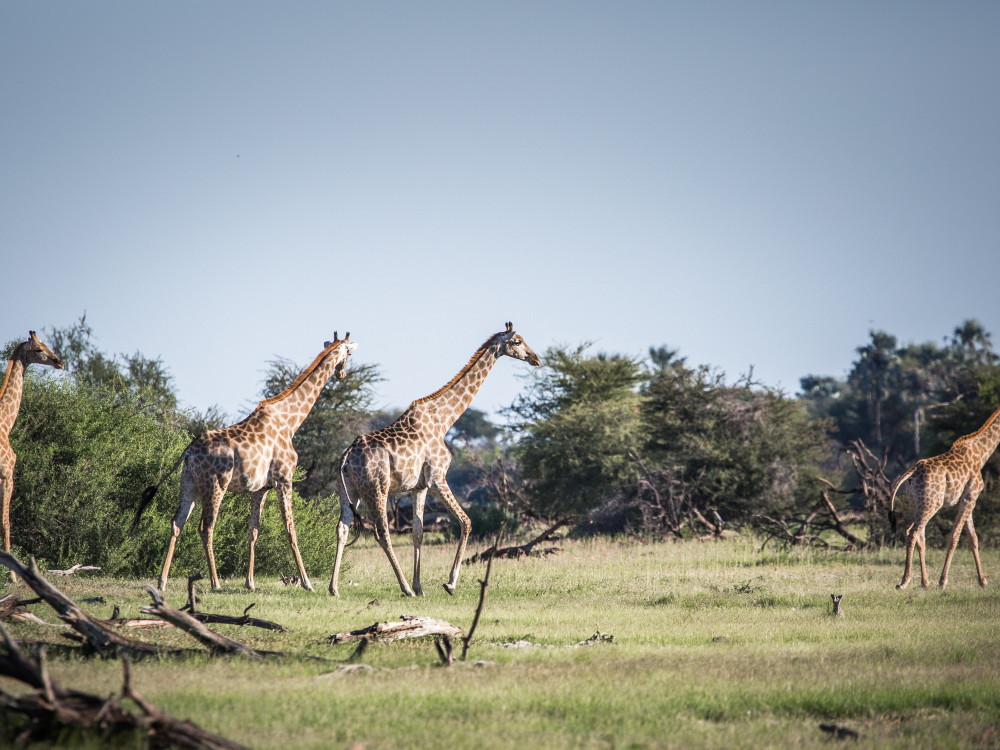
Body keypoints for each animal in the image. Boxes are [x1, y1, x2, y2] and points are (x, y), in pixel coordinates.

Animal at [1, 332, 64, 574]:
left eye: (46, 345)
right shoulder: (7, 474)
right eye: (38, 349)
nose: (59, 362)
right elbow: (5, 522)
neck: (6, 423)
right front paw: (12, 574)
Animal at [133, 333, 358, 592]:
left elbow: (253, 531)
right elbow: (290, 530)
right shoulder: (285, 479)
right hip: (216, 485)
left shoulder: (261, 488)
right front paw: (307, 583)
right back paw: (215, 583)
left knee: (176, 523)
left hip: (188, 484)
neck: (290, 422)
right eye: (349, 353)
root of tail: (187, 452)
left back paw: (162, 581)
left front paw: (250, 582)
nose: (342, 374)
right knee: (206, 527)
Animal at [329, 323, 540, 598]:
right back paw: (404, 587)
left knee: (342, 528)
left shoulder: (419, 486)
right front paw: (449, 583)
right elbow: (466, 521)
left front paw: (421, 587)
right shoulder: (438, 477)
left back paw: (334, 588)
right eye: (517, 341)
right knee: (382, 533)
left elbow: (418, 532)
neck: (444, 420)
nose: (535, 359)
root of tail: (346, 457)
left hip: (349, 490)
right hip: (377, 488)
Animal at [889, 405, 1000, 589]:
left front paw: (982, 581)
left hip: (917, 504)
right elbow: (955, 536)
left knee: (917, 534)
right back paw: (904, 581)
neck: (981, 453)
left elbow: (973, 538)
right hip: (931, 504)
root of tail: (911, 474)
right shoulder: (971, 496)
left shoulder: (967, 498)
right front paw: (943, 581)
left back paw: (925, 582)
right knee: (913, 532)